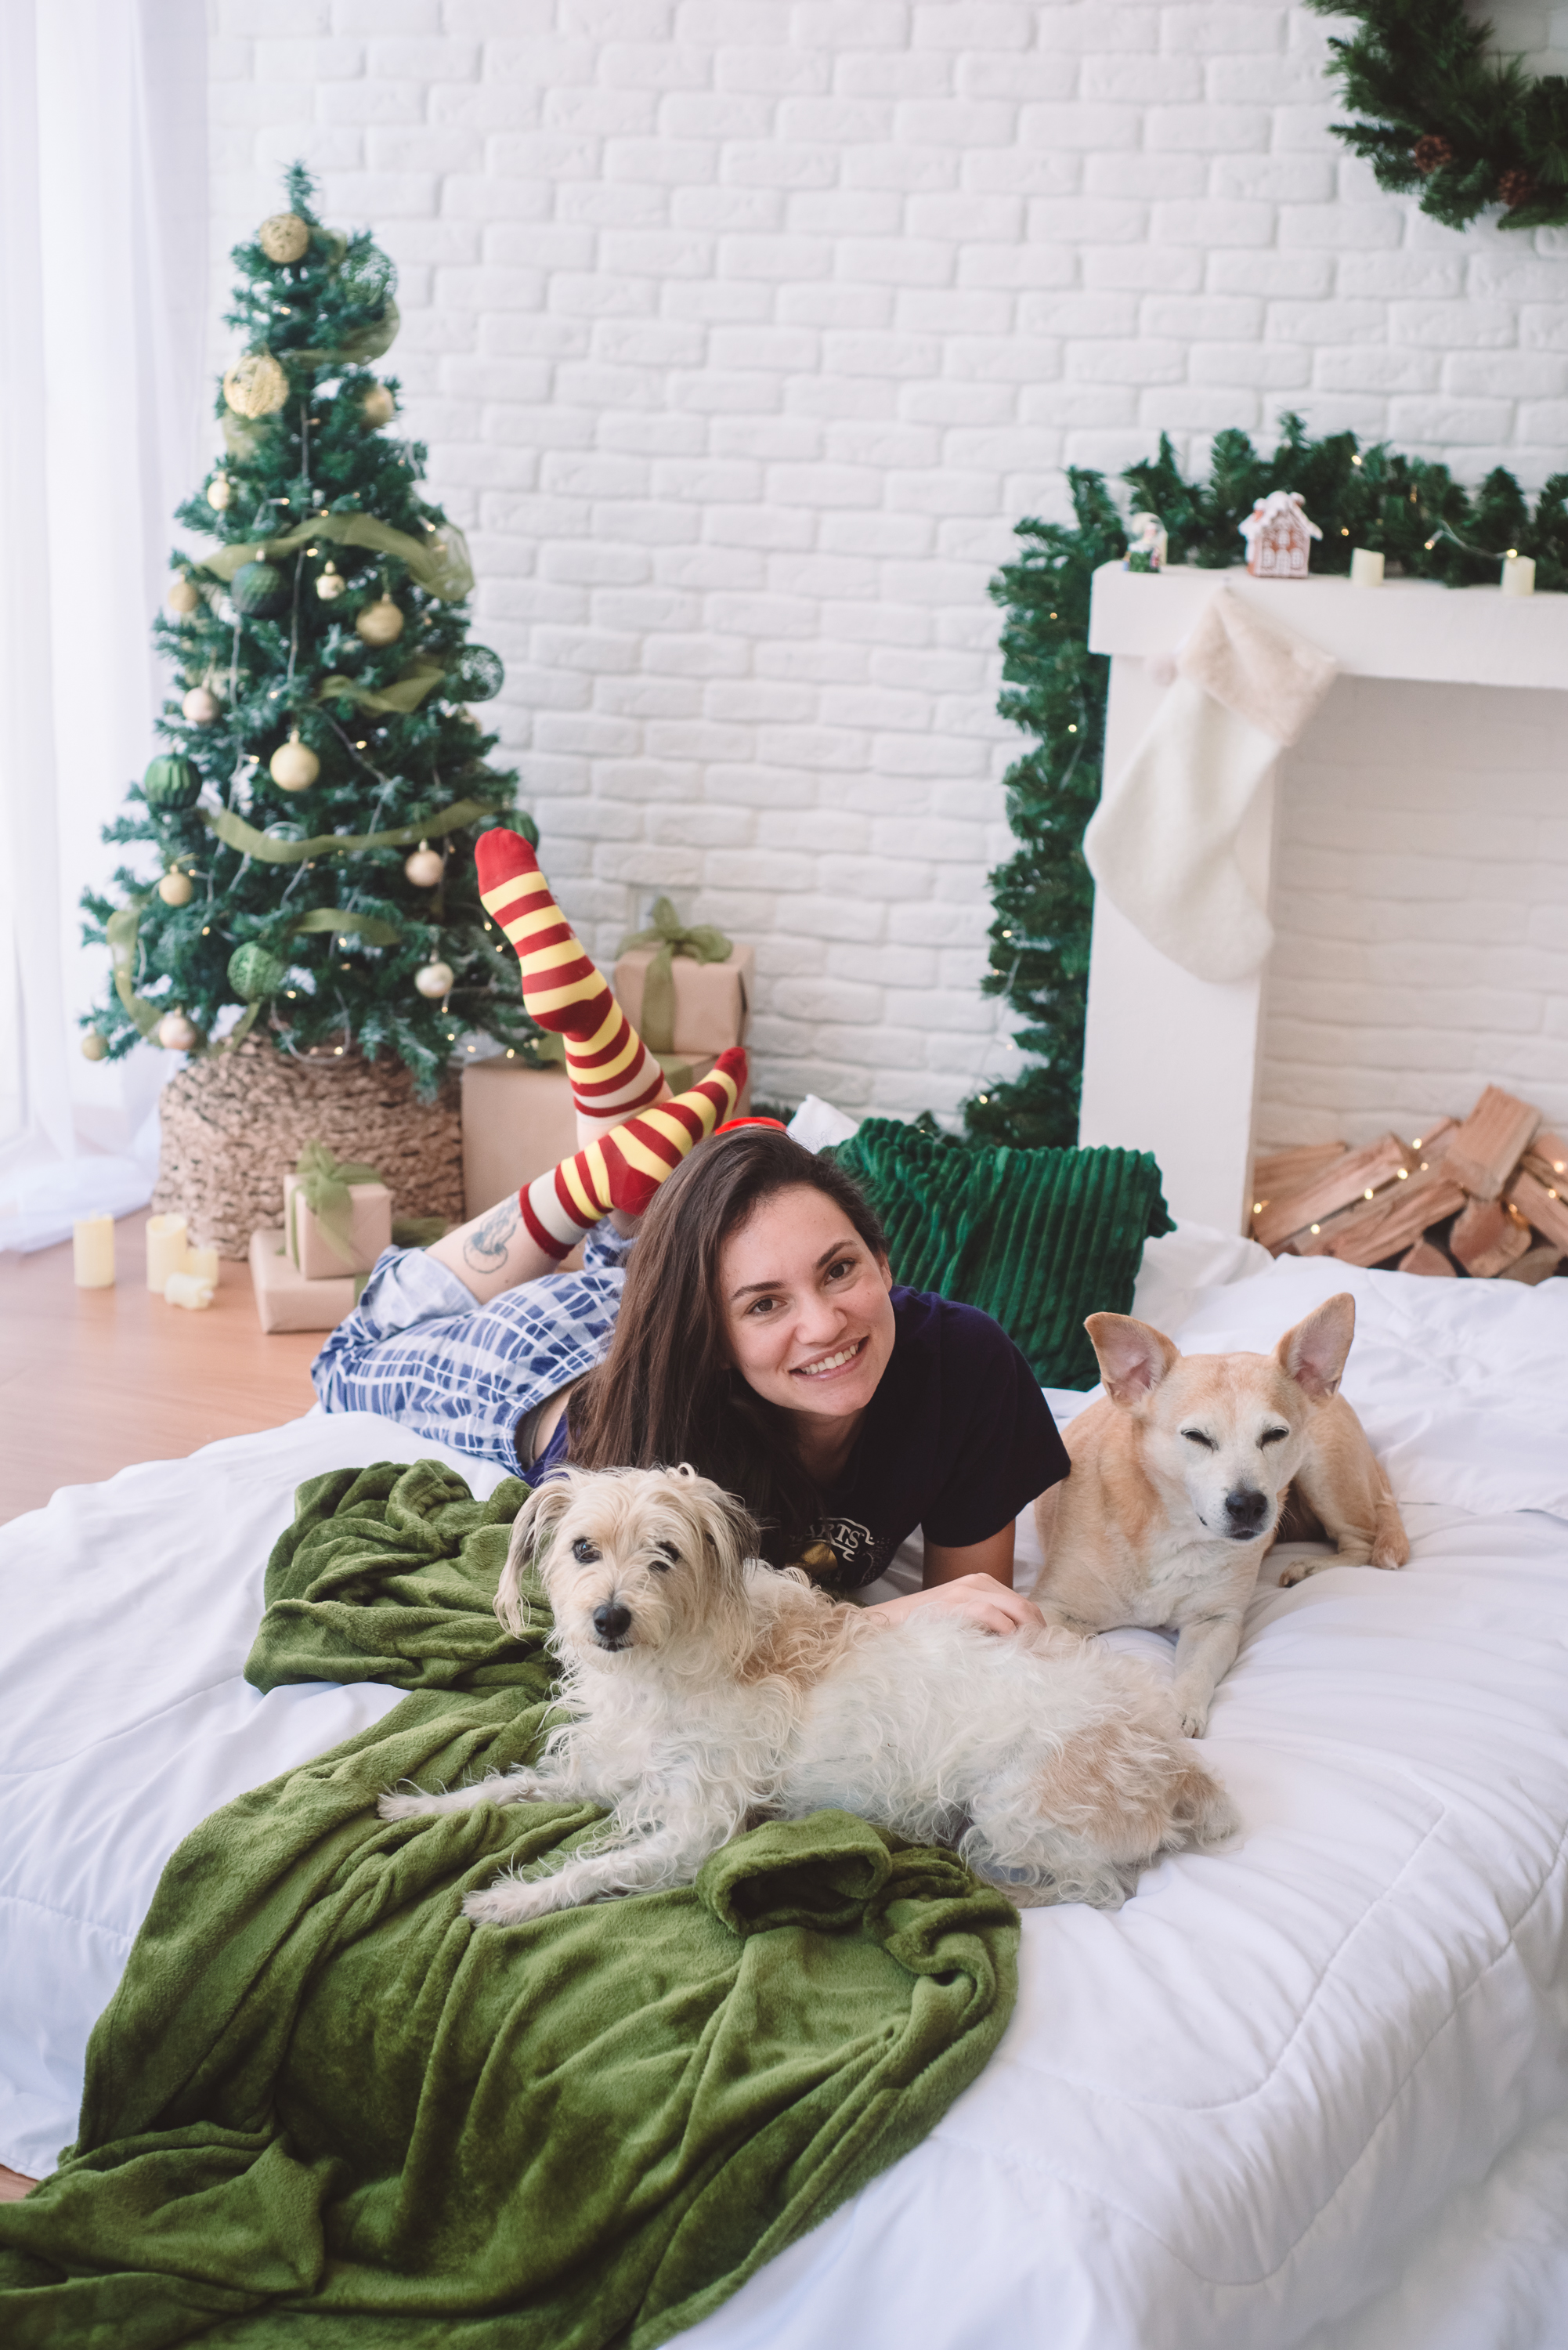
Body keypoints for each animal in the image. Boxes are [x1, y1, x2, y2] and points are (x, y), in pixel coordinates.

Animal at [379, 1464, 1237, 1925]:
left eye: (666, 1556)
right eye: (583, 1549)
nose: (609, 1618)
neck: (667, 1667)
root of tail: (1177, 1766)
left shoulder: (698, 1828)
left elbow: (595, 1869)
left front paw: (515, 1901)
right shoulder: (608, 1772)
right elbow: (513, 1785)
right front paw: (421, 1806)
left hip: (1013, 1809)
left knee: (1100, 1889)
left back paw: (986, 1884)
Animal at [1031, 1291, 1408, 1740]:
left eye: (1275, 1435)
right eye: (1196, 1437)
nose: (1249, 1504)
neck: (1174, 1530)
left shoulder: (1216, 1622)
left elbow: (1196, 1672)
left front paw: (1179, 1710)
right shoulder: (1051, 1609)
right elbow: (1060, 1645)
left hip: (1325, 1472)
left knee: (1362, 1542)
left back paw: (1311, 1567)